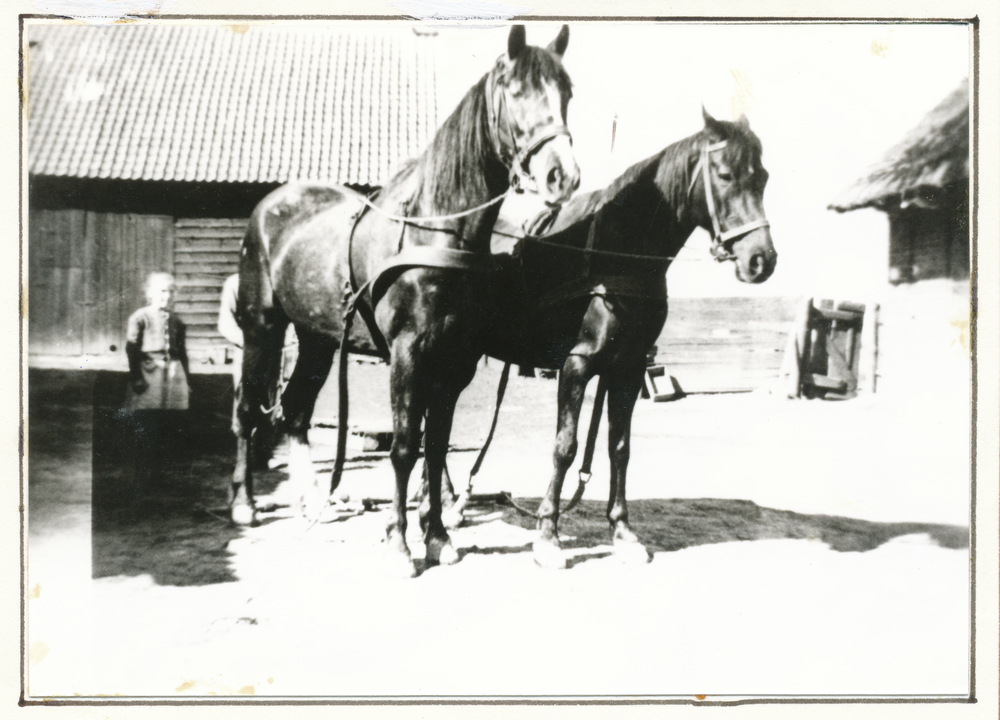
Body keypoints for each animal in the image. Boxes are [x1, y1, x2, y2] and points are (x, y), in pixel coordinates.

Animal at [232, 25, 580, 576]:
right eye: (516, 91)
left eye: (566, 93)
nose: (561, 176)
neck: (435, 228)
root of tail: (270, 206)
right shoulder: (407, 354)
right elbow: (403, 447)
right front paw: (399, 542)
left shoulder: (456, 362)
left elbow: (435, 448)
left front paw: (437, 536)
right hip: (261, 328)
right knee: (249, 407)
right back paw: (245, 504)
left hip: (317, 339)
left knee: (295, 411)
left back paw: (313, 500)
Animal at [480, 108, 776, 568]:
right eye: (725, 175)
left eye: (762, 177)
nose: (761, 260)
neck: (616, 250)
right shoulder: (577, 364)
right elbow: (566, 446)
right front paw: (547, 534)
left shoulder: (630, 368)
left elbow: (619, 447)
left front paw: (622, 531)